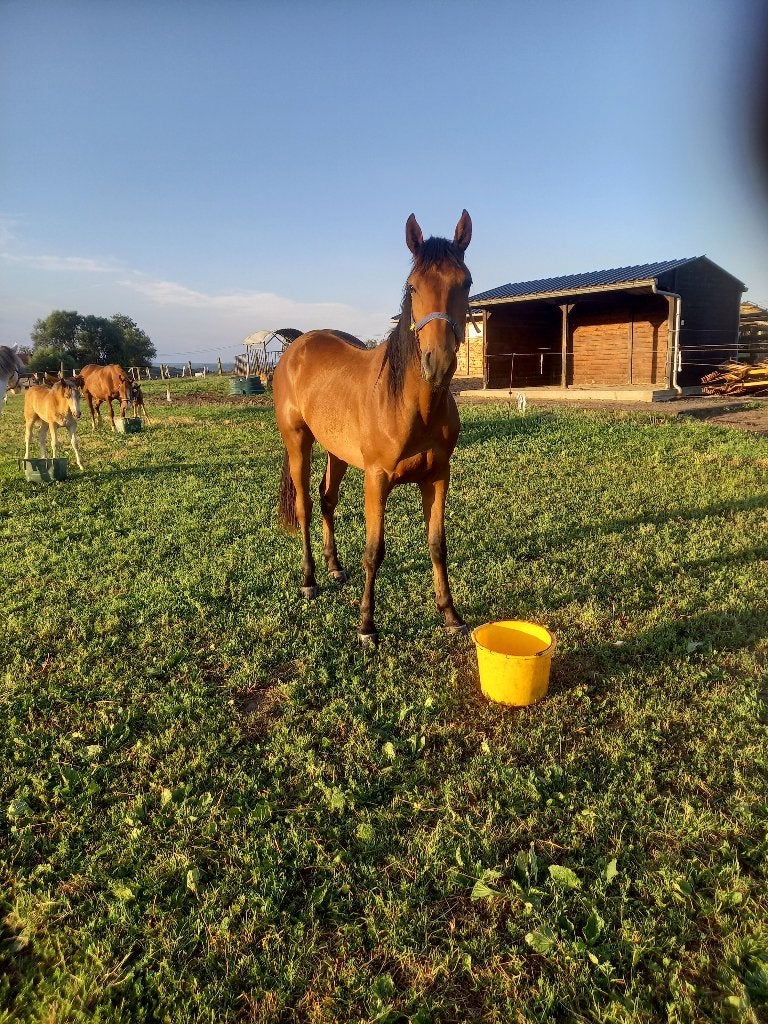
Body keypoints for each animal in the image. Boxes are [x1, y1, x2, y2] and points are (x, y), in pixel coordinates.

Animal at [273, 210, 472, 645]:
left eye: (465, 282)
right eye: (413, 286)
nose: (439, 363)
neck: (411, 405)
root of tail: (297, 345)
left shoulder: (437, 476)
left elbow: (437, 544)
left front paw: (450, 614)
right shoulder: (377, 478)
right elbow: (374, 550)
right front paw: (367, 625)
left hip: (337, 452)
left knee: (327, 500)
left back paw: (333, 567)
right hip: (299, 443)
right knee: (305, 505)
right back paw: (310, 580)